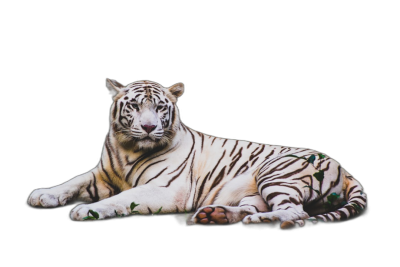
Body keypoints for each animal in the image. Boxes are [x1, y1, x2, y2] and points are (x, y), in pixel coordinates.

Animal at [26, 79, 368, 230]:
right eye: (134, 105)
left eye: (160, 107)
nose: (149, 127)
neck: (128, 148)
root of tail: (345, 169)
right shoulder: (101, 174)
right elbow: (72, 182)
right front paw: (42, 195)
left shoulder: (166, 189)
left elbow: (122, 199)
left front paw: (87, 211)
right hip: (255, 190)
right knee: (255, 207)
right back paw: (212, 216)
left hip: (276, 173)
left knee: (296, 212)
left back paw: (262, 220)